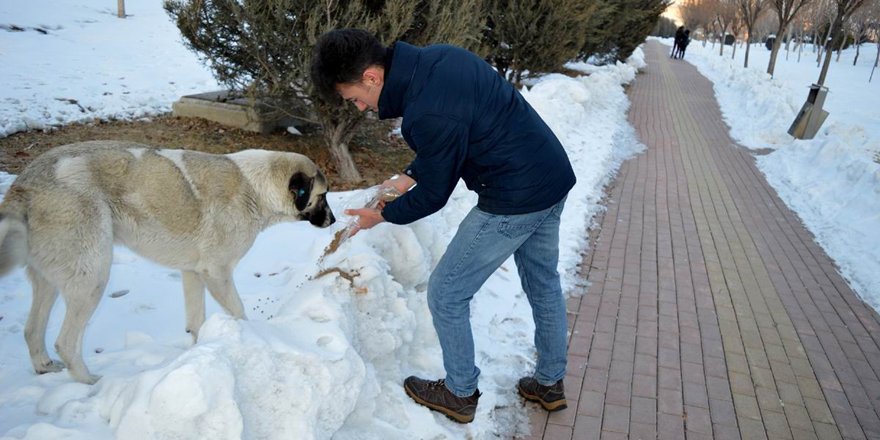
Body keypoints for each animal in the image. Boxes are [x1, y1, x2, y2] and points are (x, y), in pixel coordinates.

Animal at [0, 141, 336, 382]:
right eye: (323, 196)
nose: (334, 220)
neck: (255, 187)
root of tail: (24, 182)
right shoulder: (217, 273)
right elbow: (238, 312)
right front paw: (250, 339)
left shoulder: (193, 272)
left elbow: (196, 322)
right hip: (92, 277)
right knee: (66, 342)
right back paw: (91, 382)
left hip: (49, 281)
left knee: (32, 330)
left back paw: (44, 367)